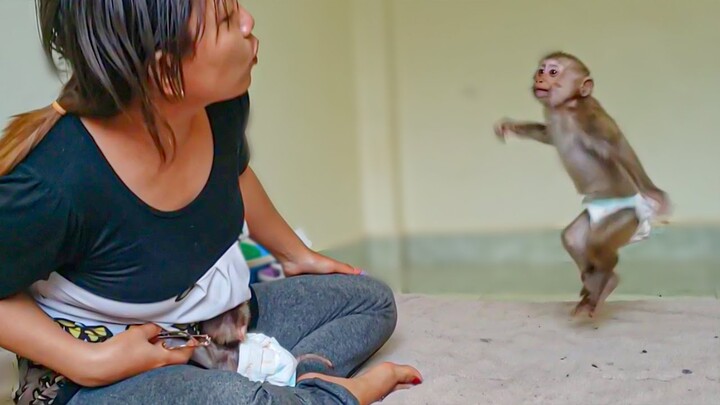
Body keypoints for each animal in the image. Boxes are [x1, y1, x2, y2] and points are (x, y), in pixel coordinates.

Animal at [496, 50, 668, 316]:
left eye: (553, 72)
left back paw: (605, 280)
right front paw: (510, 126)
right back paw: (594, 283)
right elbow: (547, 135)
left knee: (598, 244)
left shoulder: (588, 117)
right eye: (541, 70)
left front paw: (655, 193)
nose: (539, 78)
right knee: (574, 239)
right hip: (593, 217)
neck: (566, 107)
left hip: (626, 217)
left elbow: (617, 147)